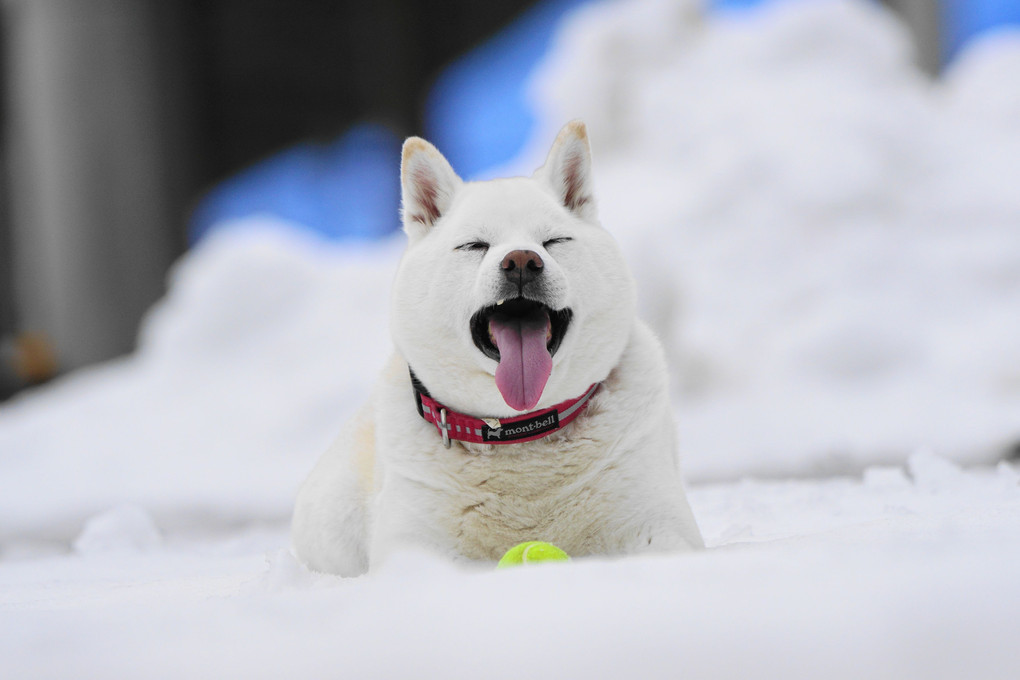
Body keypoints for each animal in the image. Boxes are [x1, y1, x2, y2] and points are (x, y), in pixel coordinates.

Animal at [291, 122, 697, 574]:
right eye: (475, 246)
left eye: (553, 241)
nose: (521, 261)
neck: (518, 432)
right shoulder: (411, 546)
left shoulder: (658, 525)